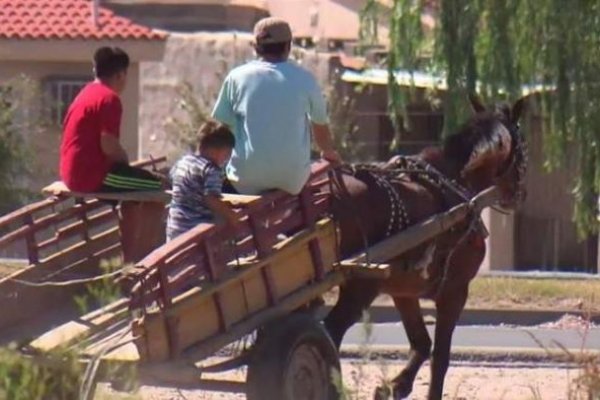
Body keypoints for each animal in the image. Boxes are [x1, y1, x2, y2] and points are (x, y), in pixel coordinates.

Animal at [326, 97, 528, 400]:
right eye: (522, 148)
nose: (520, 194)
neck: (457, 186)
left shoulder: (403, 290)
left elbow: (421, 342)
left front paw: (393, 386)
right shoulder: (455, 291)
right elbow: (441, 357)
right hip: (361, 285)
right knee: (330, 331)